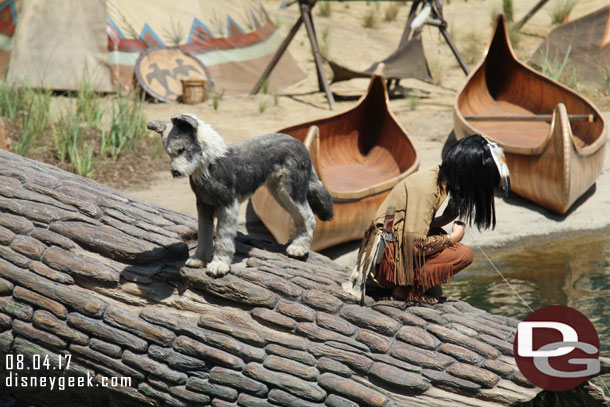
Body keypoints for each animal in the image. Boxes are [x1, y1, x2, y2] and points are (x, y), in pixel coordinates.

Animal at [147, 113, 332, 276]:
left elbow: (222, 237)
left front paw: (219, 265)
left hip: (290, 191)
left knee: (309, 217)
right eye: (169, 153)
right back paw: (296, 242)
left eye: (181, 150)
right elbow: (204, 234)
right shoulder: (204, 206)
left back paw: (299, 248)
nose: (175, 172)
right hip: (279, 192)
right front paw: (199, 259)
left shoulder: (228, 206)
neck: (209, 165)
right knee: (300, 217)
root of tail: (300, 145)